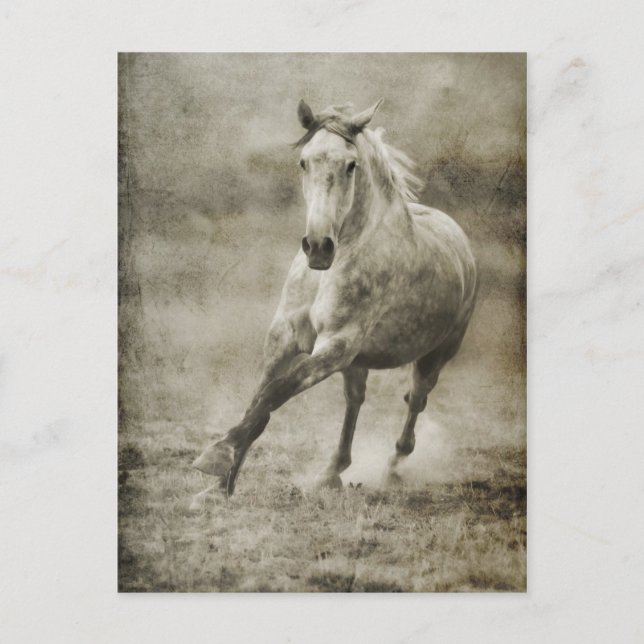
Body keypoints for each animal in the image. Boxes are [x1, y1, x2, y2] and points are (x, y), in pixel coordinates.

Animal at [193, 99, 478, 496]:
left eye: (350, 165)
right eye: (304, 162)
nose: (318, 247)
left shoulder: (337, 344)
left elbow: (276, 392)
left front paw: (217, 458)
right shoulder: (284, 336)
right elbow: (259, 400)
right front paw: (220, 484)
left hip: (434, 356)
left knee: (415, 403)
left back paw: (393, 468)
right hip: (358, 362)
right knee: (354, 402)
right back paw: (332, 472)